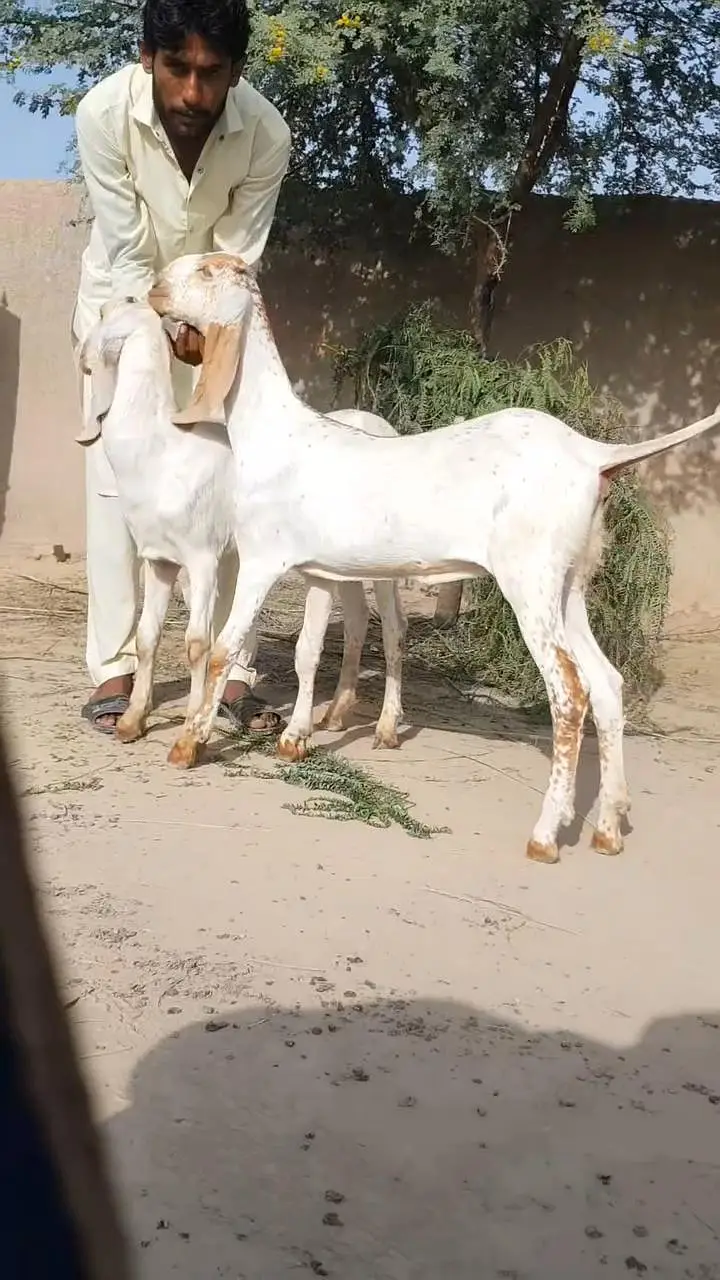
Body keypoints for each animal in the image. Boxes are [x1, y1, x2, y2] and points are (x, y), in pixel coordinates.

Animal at [79, 300, 406, 764]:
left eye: (111, 314)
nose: (82, 356)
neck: (163, 452)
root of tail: (380, 423)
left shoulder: (203, 557)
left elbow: (198, 642)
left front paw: (193, 723)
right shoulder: (158, 559)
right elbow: (146, 636)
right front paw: (130, 722)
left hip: (386, 562)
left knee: (394, 629)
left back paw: (387, 728)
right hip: (344, 559)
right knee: (358, 620)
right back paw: (337, 714)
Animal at [148, 251, 720, 864]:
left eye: (207, 272)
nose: (155, 288)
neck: (275, 433)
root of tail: (593, 455)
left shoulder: (262, 562)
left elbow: (221, 651)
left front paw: (188, 743)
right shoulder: (316, 569)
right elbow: (304, 650)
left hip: (530, 580)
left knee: (569, 690)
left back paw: (545, 835)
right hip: (570, 584)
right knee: (607, 682)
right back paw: (608, 828)